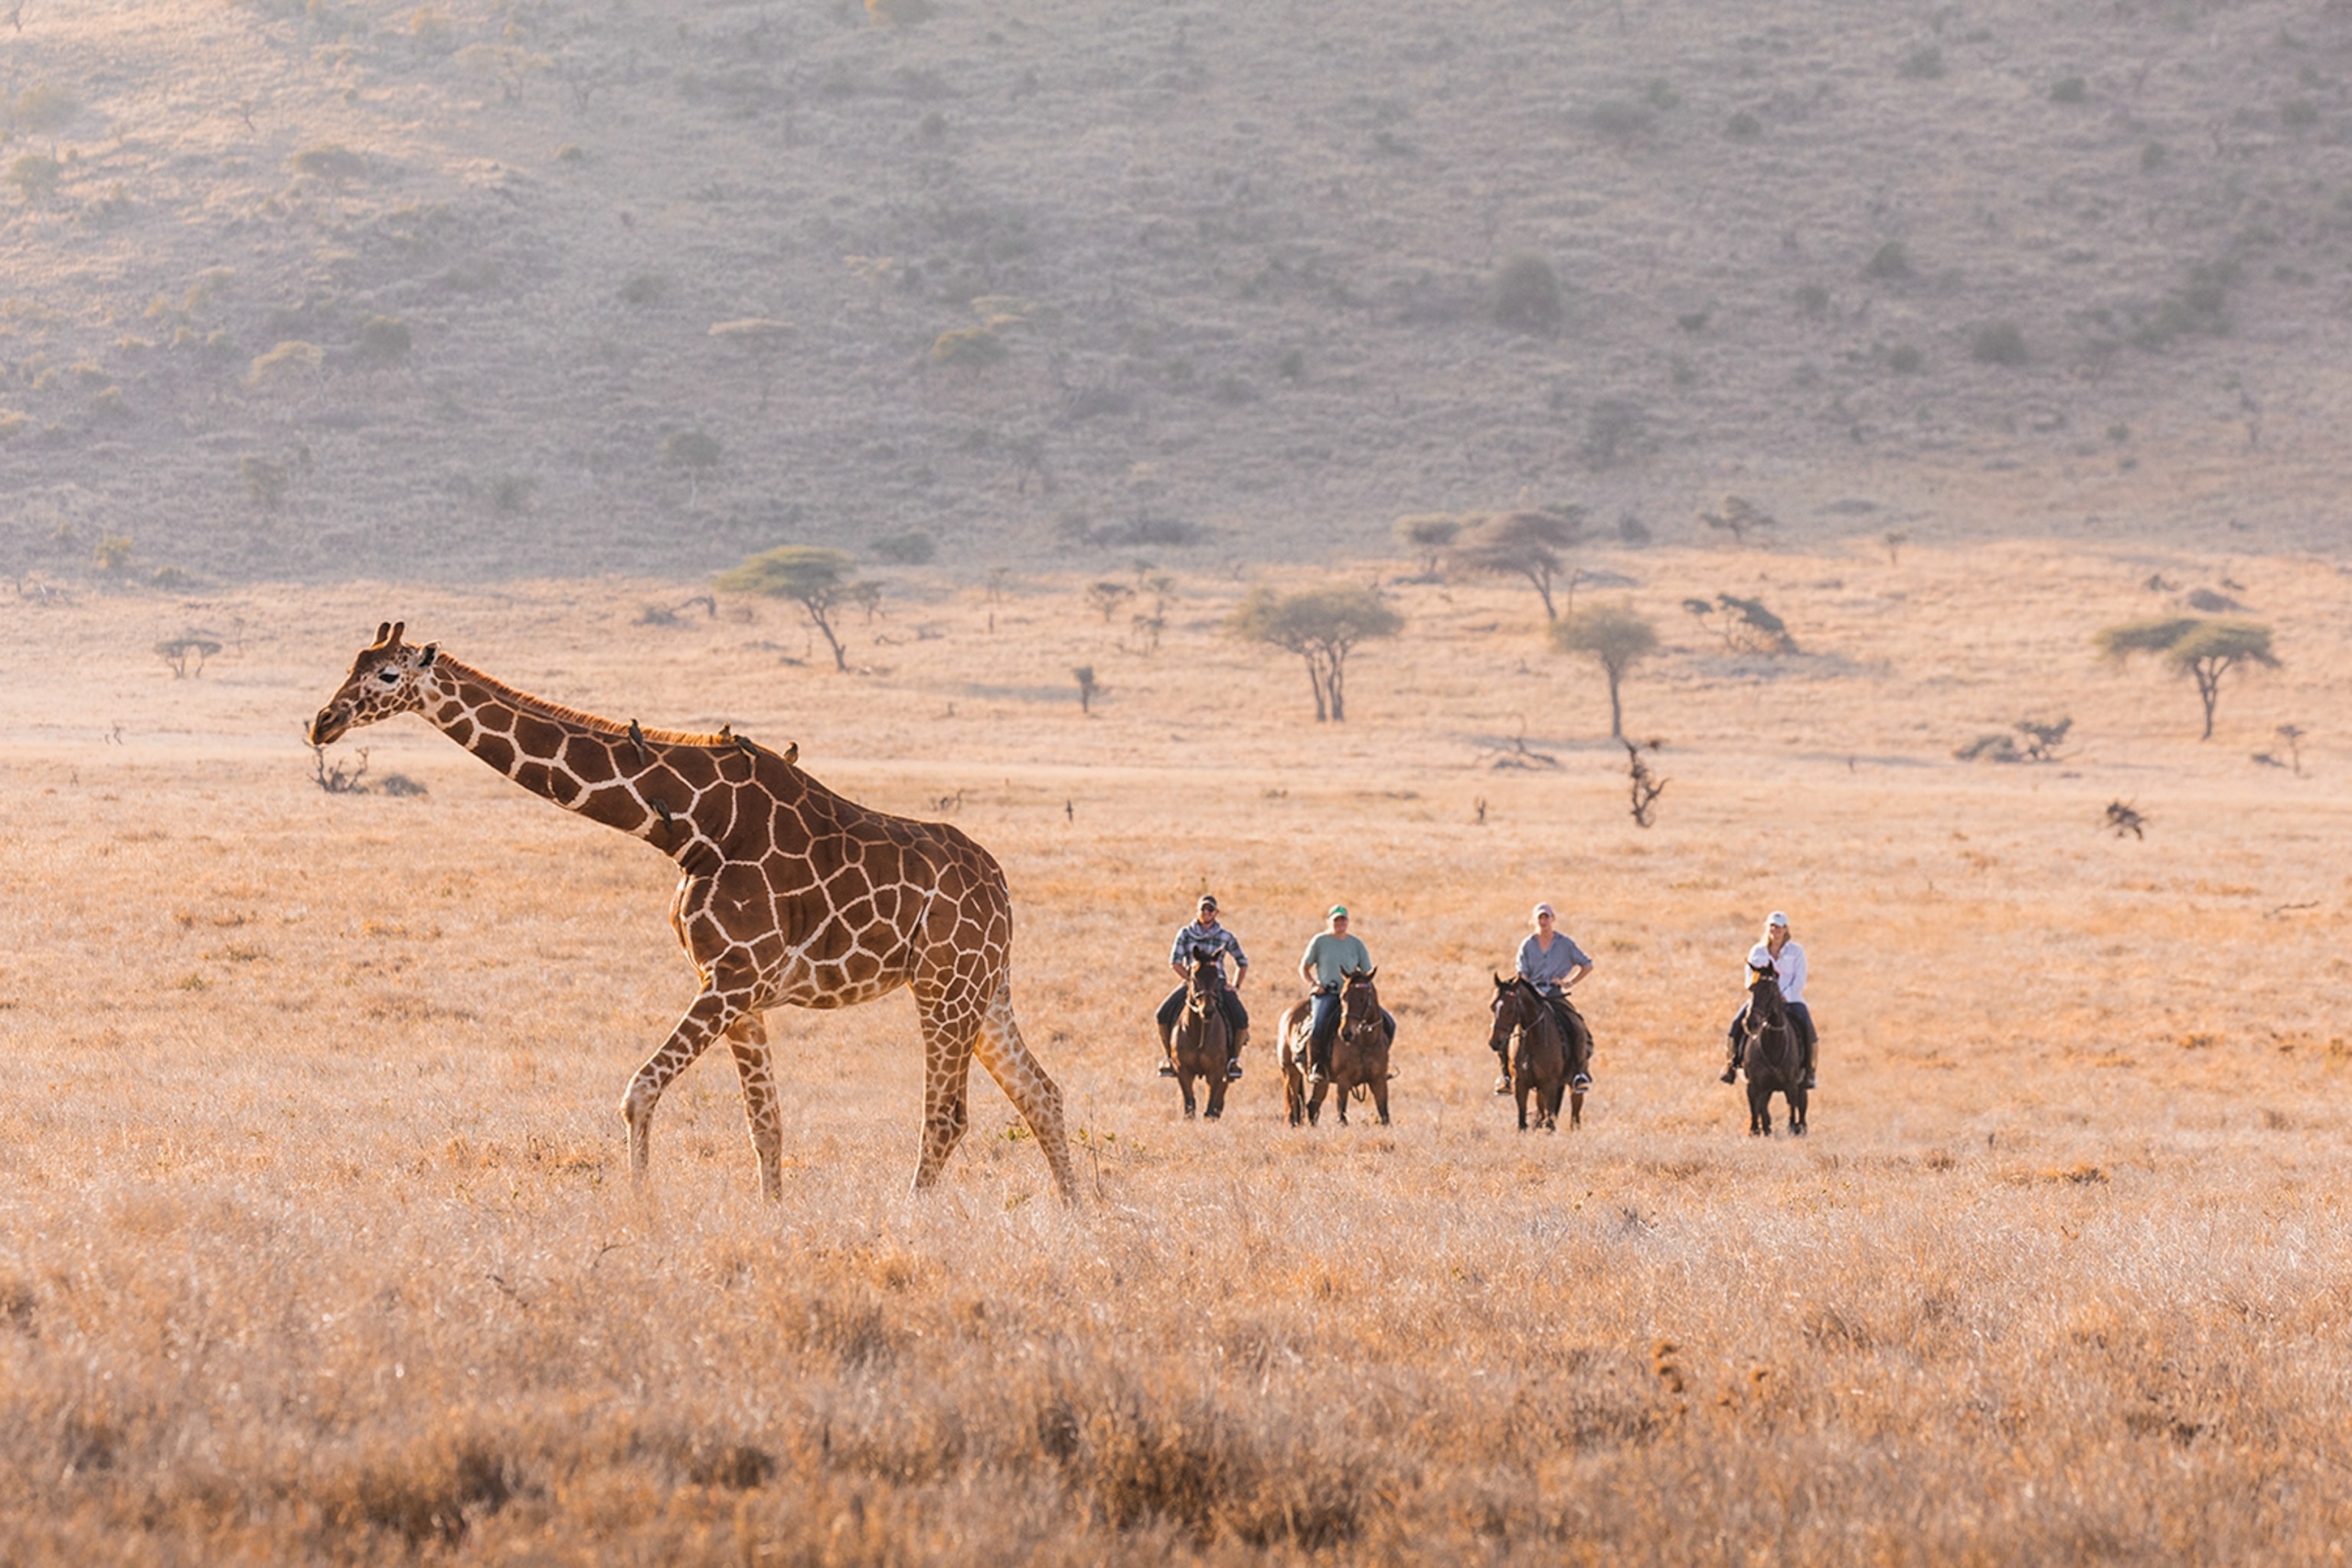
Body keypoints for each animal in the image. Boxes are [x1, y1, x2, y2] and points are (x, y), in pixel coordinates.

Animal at [307, 622, 1079, 1202]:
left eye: (386, 676)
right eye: (351, 667)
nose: (322, 722)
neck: (692, 828)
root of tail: (1001, 885)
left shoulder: (732, 978)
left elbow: (640, 1090)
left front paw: (641, 1210)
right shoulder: (738, 987)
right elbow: (765, 1123)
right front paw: (772, 1219)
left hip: (946, 985)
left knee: (948, 1117)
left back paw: (910, 1217)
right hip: (983, 987)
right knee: (1041, 1092)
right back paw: (1080, 1216)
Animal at [1170, 954, 1234, 1120]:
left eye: (1217, 978)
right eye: (1194, 978)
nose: (1208, 1010)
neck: (1198, 1033)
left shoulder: (1216, 1071)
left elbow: (1210, 1106)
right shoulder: (1183, 1070)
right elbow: (1189, 1105)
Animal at [1488, 975, 1587, 1131]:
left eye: (1510, 1009)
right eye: (1492, 1007)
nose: (1494, 1042)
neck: (1533, 1042)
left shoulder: (1551, 1084)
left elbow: (1550, 1122)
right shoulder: (1521, 1084)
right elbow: (1522, 1121)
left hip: (1573, 1083)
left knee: (1574, 1114)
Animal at [1735, 963, 1807, 1136]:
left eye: (1770, 990)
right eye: (1751, 989)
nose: (1750, 1023)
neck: (1773, 1046)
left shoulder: (1791, 1085)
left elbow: (1792, 1108)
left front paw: (1793, 1129)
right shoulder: (1754, 1085)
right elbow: (1755, 1109)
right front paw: (1756, 1130)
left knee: (1802, 1105)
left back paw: (1802, 1128)